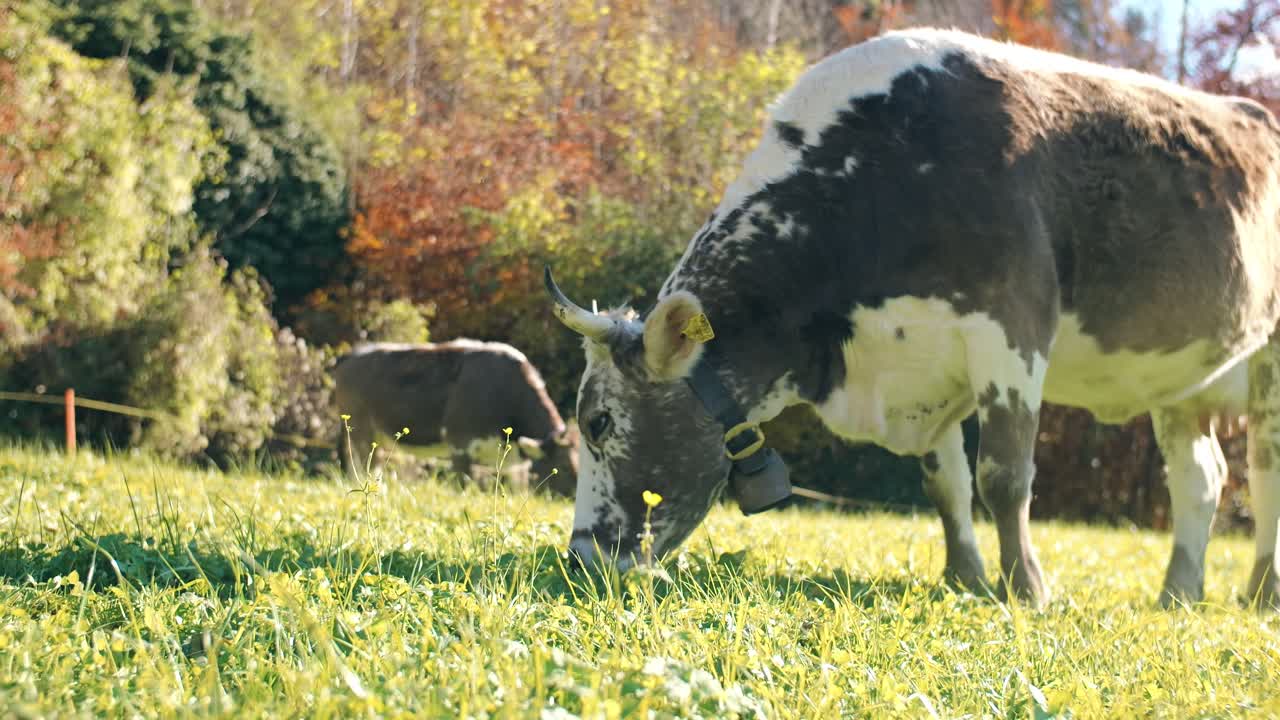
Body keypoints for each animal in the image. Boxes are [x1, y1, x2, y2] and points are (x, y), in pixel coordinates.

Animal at [333, 340, 578, 495]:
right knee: (360, 464)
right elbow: (463, 486)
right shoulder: (460, 443)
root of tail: (351, 354)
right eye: (564, 466)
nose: (576, 494)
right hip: (360, 428)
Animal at [545, 27, 1280, 609]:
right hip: (1181, 383)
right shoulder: (919, 361)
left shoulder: (1010, 327)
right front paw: (965, 578)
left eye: (599, 422)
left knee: (1265, 470)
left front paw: (1027, 589)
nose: (581, 558)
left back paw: (1260, 594)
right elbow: (945, 483)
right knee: (1200, 479)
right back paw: (1179, 592)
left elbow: (1003, 476)